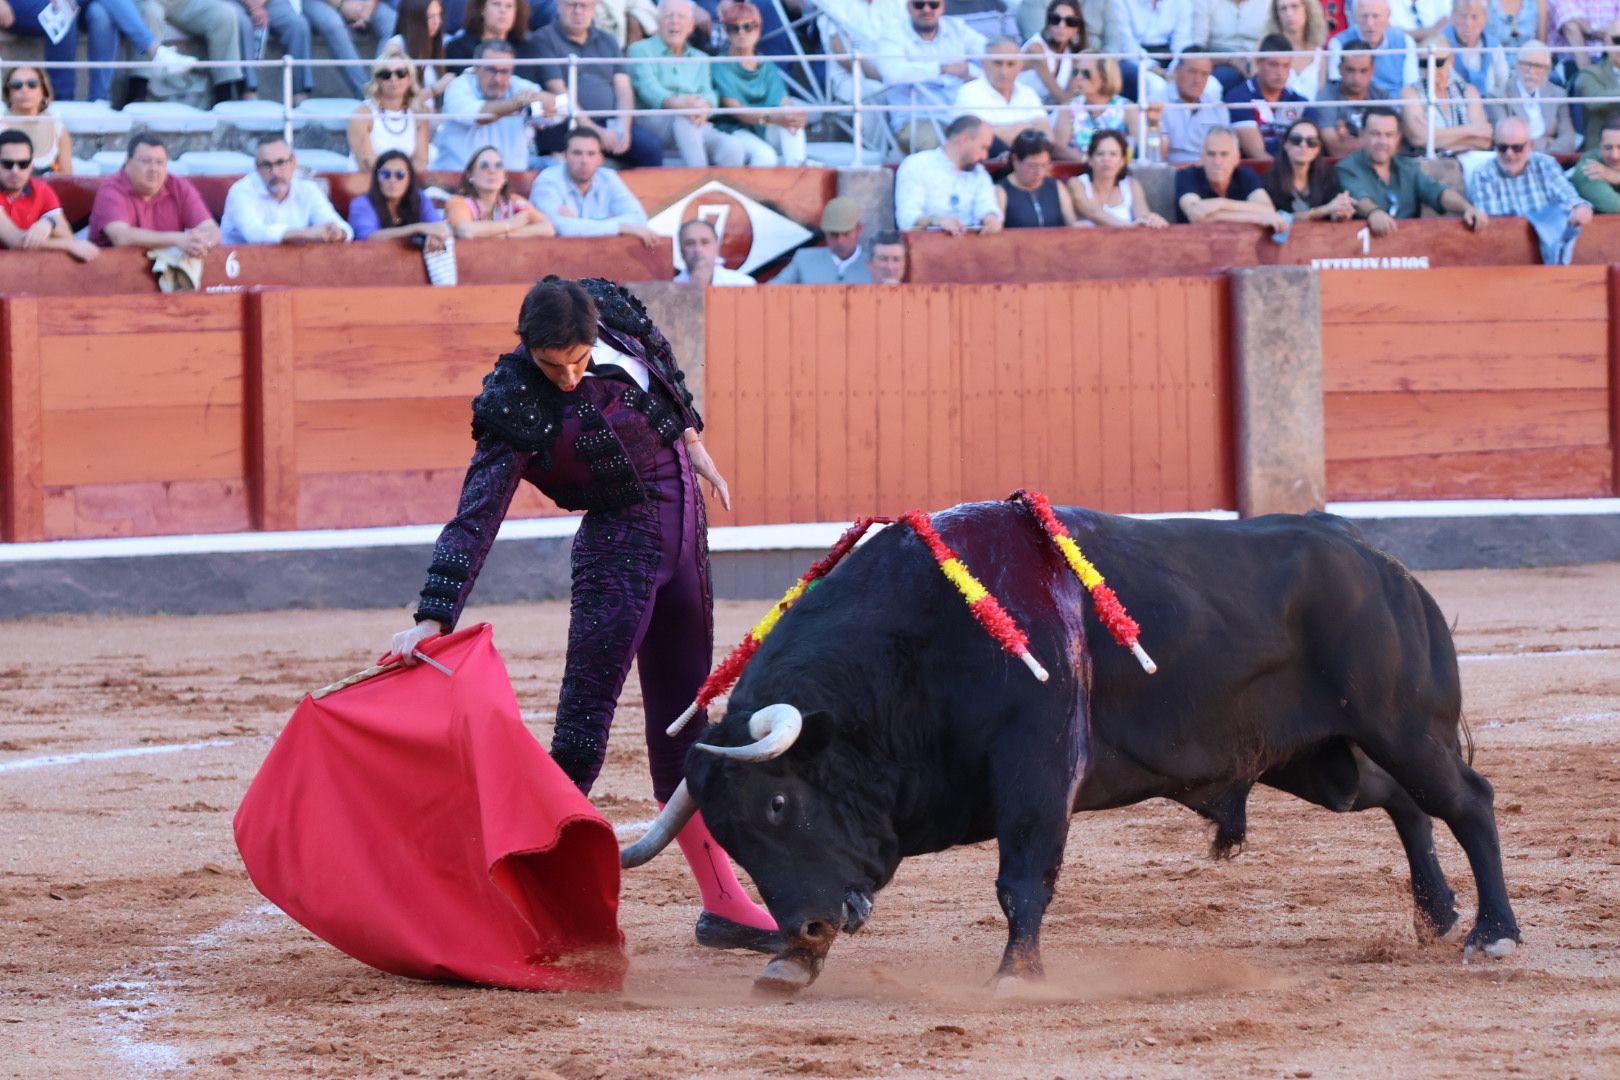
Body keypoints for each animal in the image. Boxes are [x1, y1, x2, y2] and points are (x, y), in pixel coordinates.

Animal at [638, 501, 1522, 990]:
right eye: (732, 835)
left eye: (780, 804)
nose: (808, 930)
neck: (912, 648)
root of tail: (1379, 560)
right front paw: (791, 965)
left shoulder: (1037, 764)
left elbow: (1022, 878)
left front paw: (1014, 977)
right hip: (1323, 760)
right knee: (1401, 799)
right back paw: (1438, 915)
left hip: (1402, 725)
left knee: (1468, 802)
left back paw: (1494, 935)